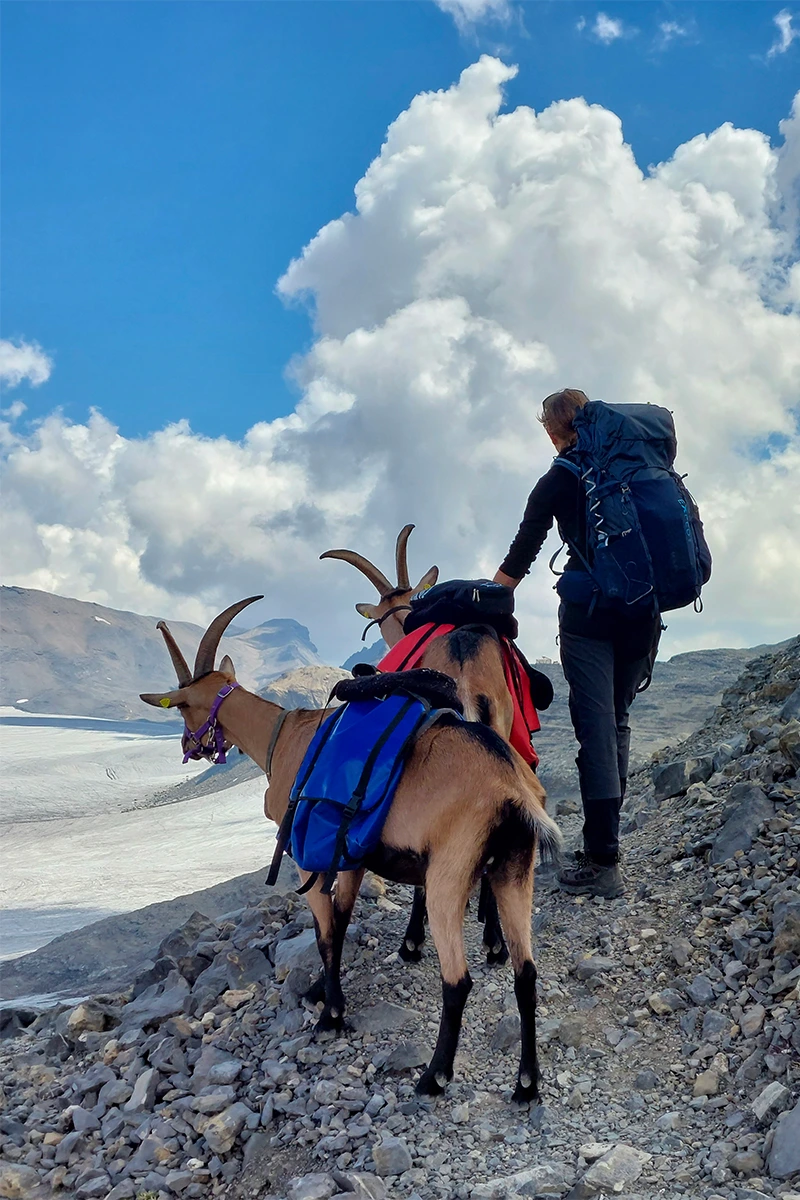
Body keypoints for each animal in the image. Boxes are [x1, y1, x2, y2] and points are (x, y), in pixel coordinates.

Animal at [140, 595, 561, 1099]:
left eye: (184, 707)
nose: (191, 745)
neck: (284, 738)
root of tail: (512, 789)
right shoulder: (351, 853)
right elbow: (340, 921)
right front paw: (323, 992)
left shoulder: (307, 852)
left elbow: (324, 931)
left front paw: (331, 1014)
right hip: (515, 871)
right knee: (527, 973)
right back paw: (527, 1083)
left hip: (449, 875)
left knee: (458, 980)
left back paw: (434, 1076)